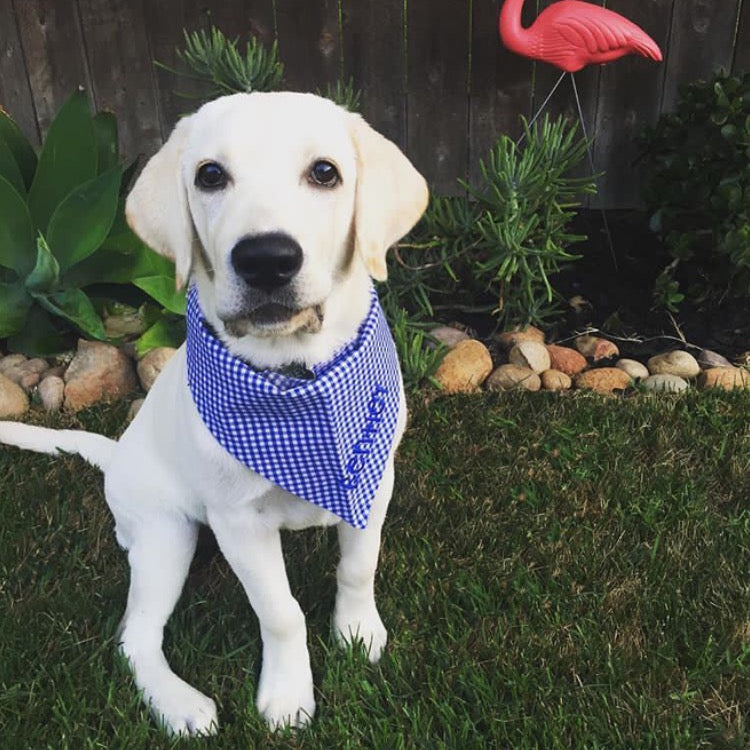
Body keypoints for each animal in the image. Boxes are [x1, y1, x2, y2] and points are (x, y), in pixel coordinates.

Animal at [0, 91, 428, 736]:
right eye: (210, 175)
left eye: (324, 172)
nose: (266, 260)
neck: (295, 380)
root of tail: (117, 454)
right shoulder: (238, 523)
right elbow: (280, 611)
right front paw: (287, 695)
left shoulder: (372, 480)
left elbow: (359, 567)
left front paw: (357, 632)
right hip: (165, 534)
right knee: (133, 637)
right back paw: (178, 705)